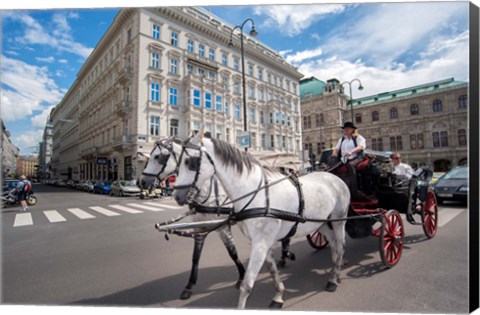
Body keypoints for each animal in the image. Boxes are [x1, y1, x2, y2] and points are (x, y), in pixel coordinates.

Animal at [174, 132, 350, 310]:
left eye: (191, 162)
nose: (177, 196)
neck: (257, 194)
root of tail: (334, 177)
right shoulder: (262, 242)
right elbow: (272, 271)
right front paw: (278, 296)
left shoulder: (261, 243)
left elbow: (246, 285)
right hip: (320, 222)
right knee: (333, 242)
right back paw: (335, 268)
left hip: (339, 220)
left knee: (341, 245)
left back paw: (334, 278)